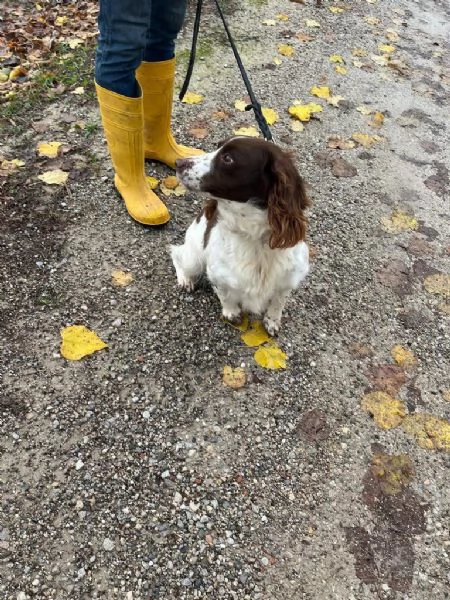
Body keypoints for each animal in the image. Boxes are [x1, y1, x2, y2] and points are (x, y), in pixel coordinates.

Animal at [171, 136, 312, 336]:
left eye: (228, 158)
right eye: (217, 147)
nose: (178, 162)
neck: (255, 238)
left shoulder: (288, 279)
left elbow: (278, 302)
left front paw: (272, 321)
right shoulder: (218, 274)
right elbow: (225, 296)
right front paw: (232, 313)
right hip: (194, 258)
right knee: (176, 254)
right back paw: (185, 279)